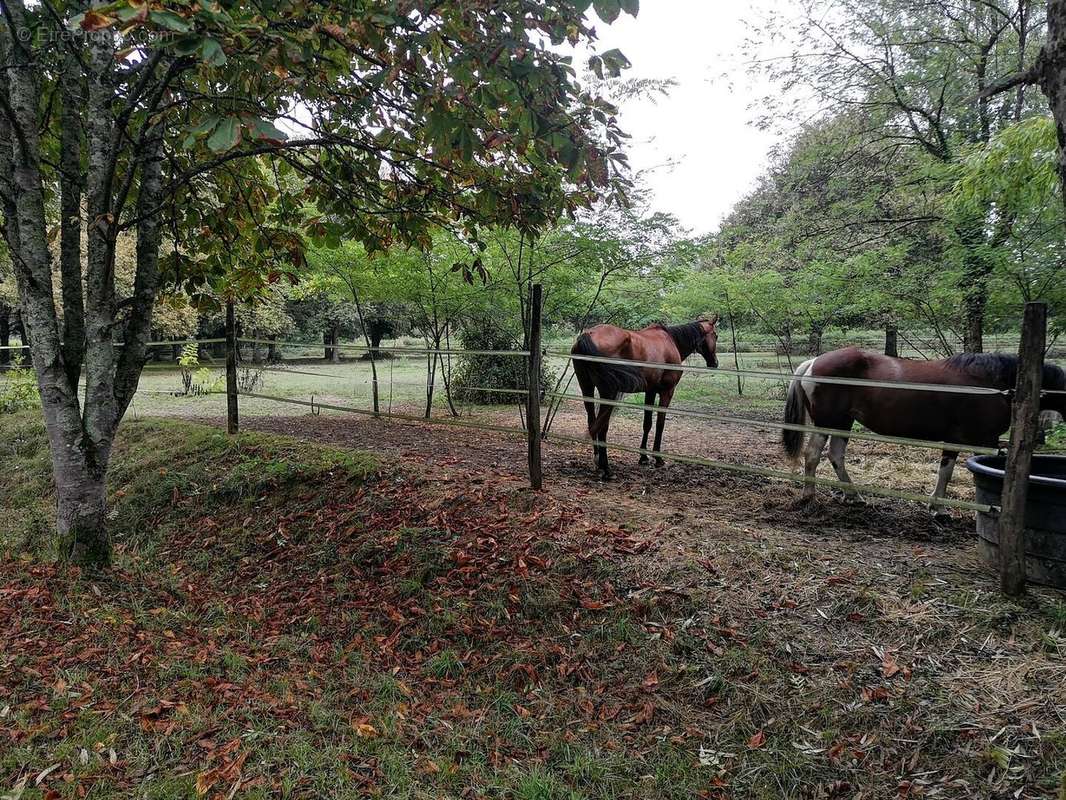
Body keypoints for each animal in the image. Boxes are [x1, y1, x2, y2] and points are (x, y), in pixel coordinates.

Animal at [571, 317, 720, 482]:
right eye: (716, 335)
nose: (715, 363)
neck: (671, 340)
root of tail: (588, 334)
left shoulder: (650, 391)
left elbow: (647, 424)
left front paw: (643, 457)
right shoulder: (667, 392)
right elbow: (660, 424)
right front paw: (658, 459)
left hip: (587, 387)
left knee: (592, 422)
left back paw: (597, 461)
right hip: (608, 393)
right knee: (602, 426)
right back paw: (606, 469)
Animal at [784, 345, 1066, 509]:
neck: (993, 385)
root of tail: (812, 363)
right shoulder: (978, 440)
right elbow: (950, 473)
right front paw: (938, 507)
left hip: (843, 423)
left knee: (835, 456)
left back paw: (853, 495)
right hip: (828, 422)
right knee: (813, 455)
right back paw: (809, 495)